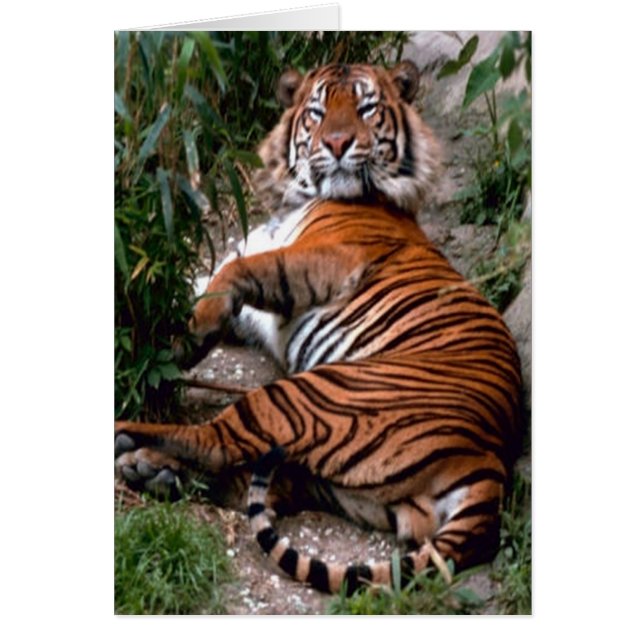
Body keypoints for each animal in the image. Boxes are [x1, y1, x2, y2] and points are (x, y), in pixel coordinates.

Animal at [115, 60, 523, 596]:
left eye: (367, 108)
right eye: (317, 110)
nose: (337, 143)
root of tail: (489, 462)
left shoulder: (330, 257)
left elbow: (234, 273)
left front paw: (185, 334)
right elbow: (201, 281)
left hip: (306, 395)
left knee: (219, 442)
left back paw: (130, 440)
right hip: (352, 487)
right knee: (258, 479)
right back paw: (154, 472)